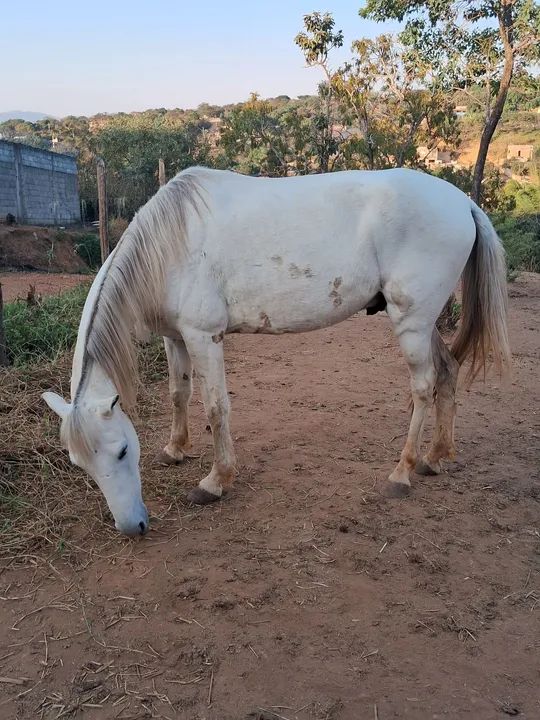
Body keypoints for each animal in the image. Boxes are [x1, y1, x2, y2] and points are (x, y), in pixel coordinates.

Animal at [42, 167, 510, 536]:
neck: (170, 246)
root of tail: (462, 203)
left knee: (423, 387)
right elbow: (179, 394)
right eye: (79, 464)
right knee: (448, 372)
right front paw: (175, 449)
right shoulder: (175, 338)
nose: (132, 526)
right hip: (425, 324)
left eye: (122, 450)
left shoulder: (204, 337)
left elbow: (216, 407)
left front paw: (215, 481)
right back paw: (435, 457)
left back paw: (403, 472)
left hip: (412, 323)